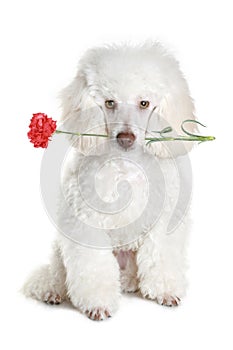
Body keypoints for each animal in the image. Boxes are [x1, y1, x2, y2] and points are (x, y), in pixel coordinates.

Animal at [23, 41, 196, 320]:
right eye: (110, 102)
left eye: (144, 103)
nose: (125, 137)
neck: (126, 166)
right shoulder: (85, 223)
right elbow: (93, 266)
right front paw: (97, 304)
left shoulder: (163, 221)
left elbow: (161, 255)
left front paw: (165, 291)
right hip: (60, 254)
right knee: (56, 276)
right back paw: (52, 292)